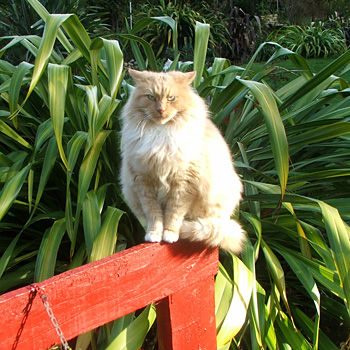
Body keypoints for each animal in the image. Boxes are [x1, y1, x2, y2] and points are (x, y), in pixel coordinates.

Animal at [119, 69, 245, 254]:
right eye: (151, 97)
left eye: (171, 98)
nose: (161, 110)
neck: (161, 135)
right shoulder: (144, 182)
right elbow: (154, 214)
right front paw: (154, 234)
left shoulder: (183, 183)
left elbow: (174, 213)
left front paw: (170, 234)